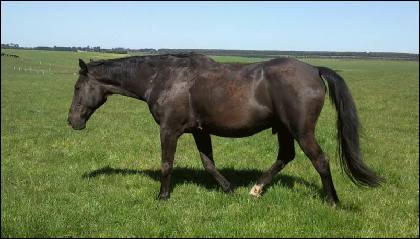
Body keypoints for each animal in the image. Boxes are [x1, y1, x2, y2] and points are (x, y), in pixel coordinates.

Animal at [67, 52, 382, 205]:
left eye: (78, 87)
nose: (72, 121)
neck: (165, 77)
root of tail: (315, 69)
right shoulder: (200, 130)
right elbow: (208, 163)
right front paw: (228, 188)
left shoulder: (169, 130)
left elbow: (167, 164)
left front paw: (162, 196)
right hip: (283, 129)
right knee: (285, 156)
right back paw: (255, 190)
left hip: (301, 131)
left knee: (320, 160)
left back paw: (332, 201)